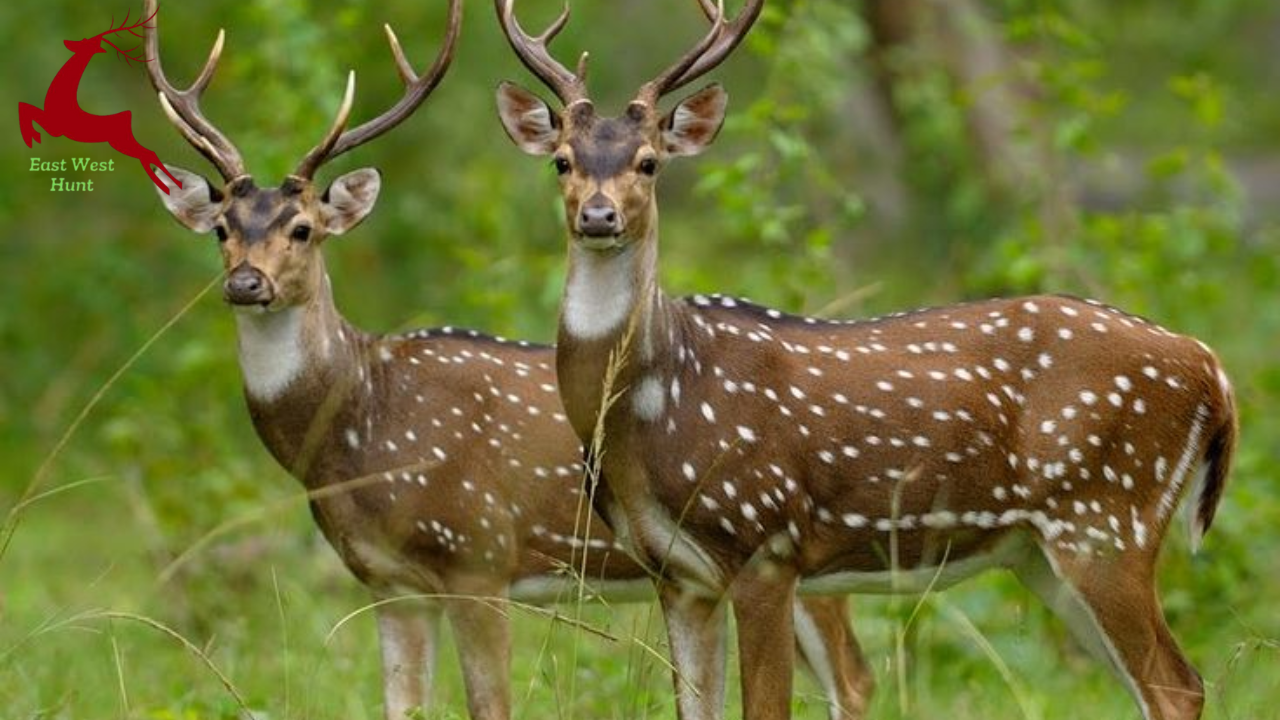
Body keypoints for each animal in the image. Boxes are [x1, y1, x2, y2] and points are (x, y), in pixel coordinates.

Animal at [16, 4, 183, 193]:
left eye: (86, 42)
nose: (69, 43)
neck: (62, 97)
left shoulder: (56, 126)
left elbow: (26, 109)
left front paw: (32, 137)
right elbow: (25, 106)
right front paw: (33, 137)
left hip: (121, 142)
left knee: (147, 154)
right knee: (148, 154)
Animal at [145, 1, 875, 717]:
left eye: (303, 229)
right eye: (221, 229)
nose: (246, 283)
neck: (362, 423)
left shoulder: (478, 552)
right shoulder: (386, 581)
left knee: (852, 676)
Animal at [494, 0, 1233, 712]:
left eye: (649, 162)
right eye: (562, 160)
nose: (598, 216)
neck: (653, 408)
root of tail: (1211, 368)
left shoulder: (766, 543)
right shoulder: (676, 575)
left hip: (1107, 516)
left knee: (1178, 685)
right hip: (1041, 552)